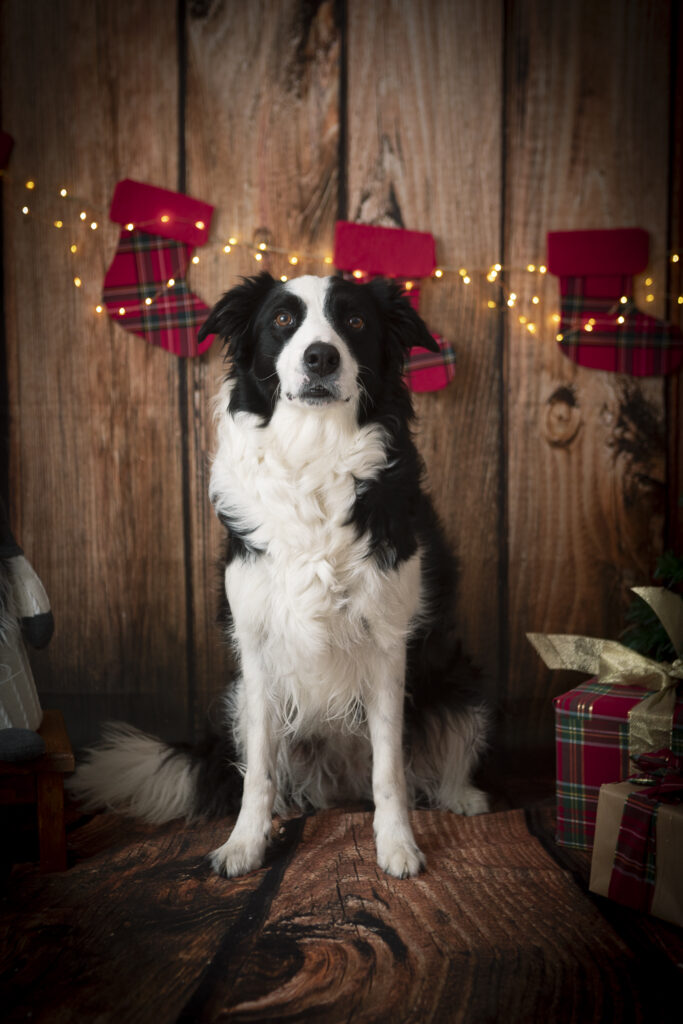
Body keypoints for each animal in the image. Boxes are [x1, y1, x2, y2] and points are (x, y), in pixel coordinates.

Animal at [70, 274, 485, 880]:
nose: (321, 357)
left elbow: (390, 768)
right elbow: (260, 771)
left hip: (459, 680)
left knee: (423, 762)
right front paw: (244, 844)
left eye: (355, 322)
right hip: (238, 699)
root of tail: (338, 784)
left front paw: (397, 846)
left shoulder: (388, 645)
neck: (314, 454)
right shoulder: (258, 649)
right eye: (283, 321)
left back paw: (463, 795)